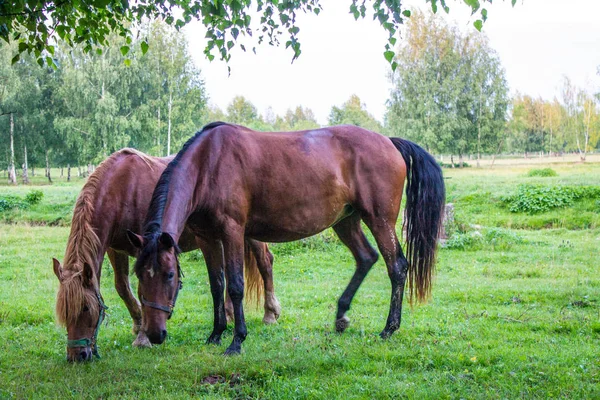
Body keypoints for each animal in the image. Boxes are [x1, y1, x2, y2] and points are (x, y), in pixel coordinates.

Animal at [54, 149, 282, 362]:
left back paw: (270, 313)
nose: (77, 355)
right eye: (64, 312)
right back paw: (229, 314)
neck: (122, 188)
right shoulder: (115, 249)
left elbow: (140, 290)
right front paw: (139, 323)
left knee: (265, 262)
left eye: (85, 308)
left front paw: (143, 337)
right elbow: (122, 288)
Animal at [131, 121, 446, 354]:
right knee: (366, 258)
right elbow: (216, 286)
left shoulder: (232, 231)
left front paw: (236, 341)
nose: (155, 334)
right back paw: (341, 316)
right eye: (140, 276)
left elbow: (235, 286)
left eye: (169, 275)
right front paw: (216, 334)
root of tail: (389, 141)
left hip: (379, 220)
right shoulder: (208, 238)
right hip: (346, 221)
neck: (208, 163)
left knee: (397, 267)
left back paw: (389, 328)